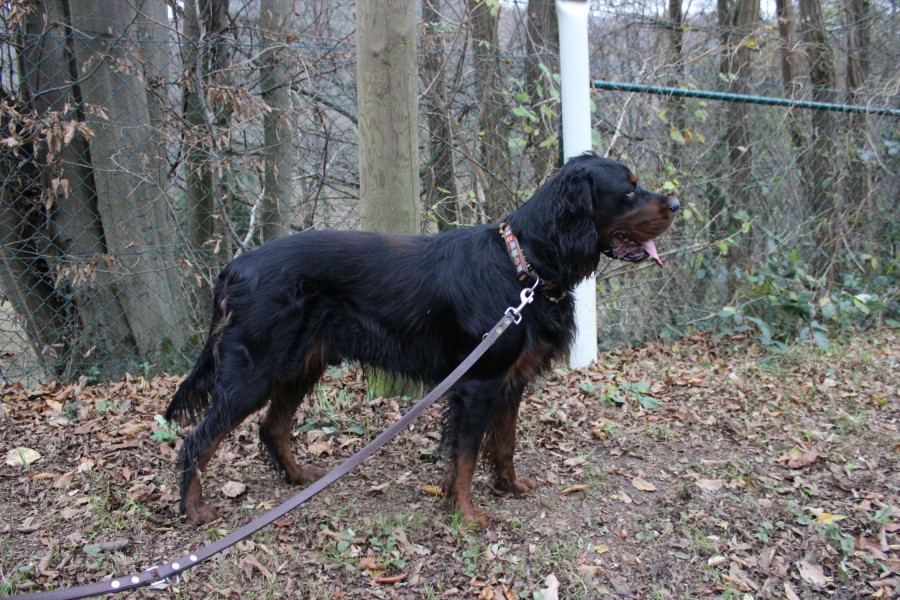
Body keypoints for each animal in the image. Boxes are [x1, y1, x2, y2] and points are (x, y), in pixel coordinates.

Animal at [165, 152, 679, 526]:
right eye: (628, 190)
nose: (675, 204)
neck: (523, 266)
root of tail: (235, 268)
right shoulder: (477, 385)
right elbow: (466, 455)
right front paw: (466, 514)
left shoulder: (509, 381)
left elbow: (504, 443)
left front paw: (510, 487)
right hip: (256, 370)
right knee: (196, 440)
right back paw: (194, 509)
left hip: (302, 362)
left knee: (272, 427)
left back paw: (298, 478)